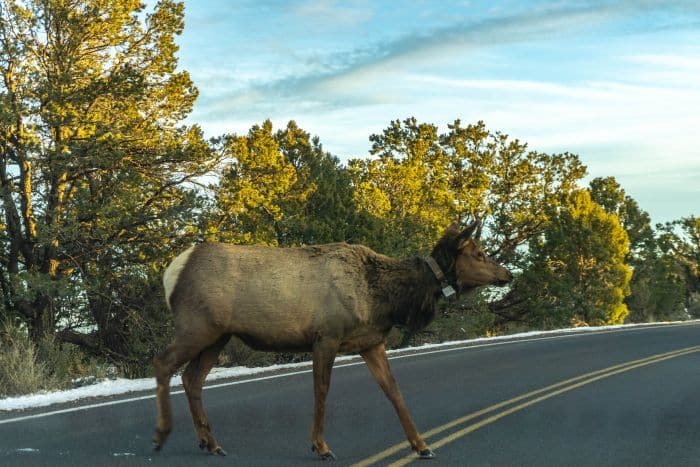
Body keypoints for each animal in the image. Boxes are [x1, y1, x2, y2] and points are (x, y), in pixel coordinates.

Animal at [152, 222, 512, 460]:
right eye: (480, 254)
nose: (507, 274)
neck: (386, 300)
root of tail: (170, 272)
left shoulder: (370, 342)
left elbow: (393, 391)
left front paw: (422, 445)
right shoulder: (326, 336)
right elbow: (321, 391)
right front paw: (321, 446)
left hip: (218, 335)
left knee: (191, 377)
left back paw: (210, 442)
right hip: (197, 327)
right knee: (164, 363)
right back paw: (162, 434)